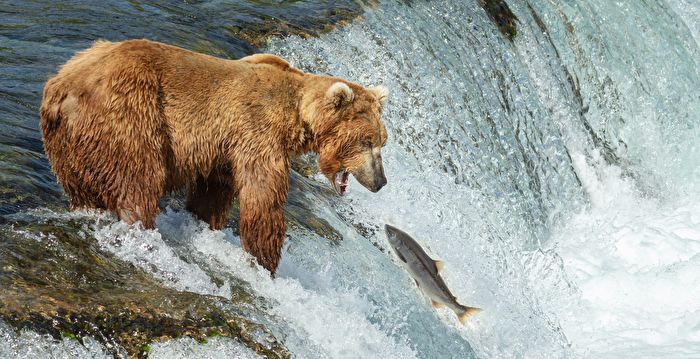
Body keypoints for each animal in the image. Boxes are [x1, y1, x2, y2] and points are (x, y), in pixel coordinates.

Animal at [39, 39, 388, 274]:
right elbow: (262, 198)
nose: (381, 181)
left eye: (382, 141)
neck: (298, 114)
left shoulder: (223, 149)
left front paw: (203, 222)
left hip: (67, 146)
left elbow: (213, 193)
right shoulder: (257, 131)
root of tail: (64, 87)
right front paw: (265, 261)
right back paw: (141, 230)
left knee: (83, 188)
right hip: (130, 112)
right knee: (139, 179)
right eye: (367, 141)